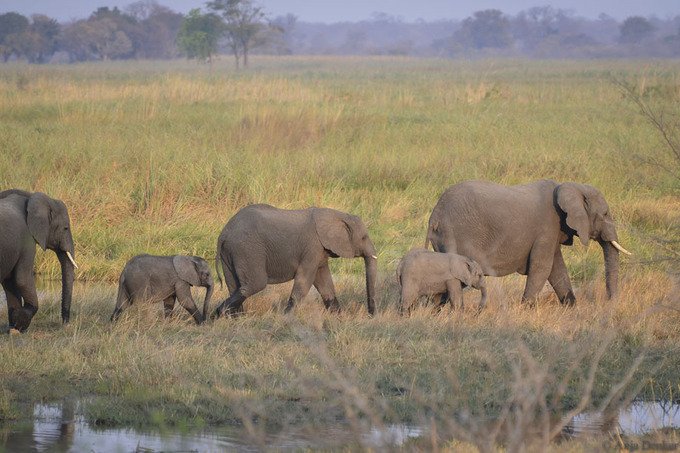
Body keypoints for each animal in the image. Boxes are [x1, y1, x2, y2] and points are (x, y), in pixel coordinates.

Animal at [0, 189, 77, 330]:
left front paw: (14, 327)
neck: (30, 196)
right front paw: (20, 323)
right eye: (65, 228)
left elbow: (10, 281)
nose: (65, 324)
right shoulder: (26, 239)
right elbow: (22, 279)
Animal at [212, 203, 378, 316]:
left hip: (231, 251)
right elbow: (305, 279)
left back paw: (234, 317)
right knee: (254, 284)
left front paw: (338, 317)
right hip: (248, 249)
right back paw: (217, 314)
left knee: (234, 285)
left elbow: (324, 281)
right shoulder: (312, 247)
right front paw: (287, 318)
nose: (371, 315)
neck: (337, 214)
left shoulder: (320, 251)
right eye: (364, 238)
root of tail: (224, 233)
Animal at [424, 179, 632, 304]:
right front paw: (526, 307)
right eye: (605, 214)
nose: (610, 302)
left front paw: (572, 306)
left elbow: (557, 269)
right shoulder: (547, 227)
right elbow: (542, 267)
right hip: (455, 234)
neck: (570, 186)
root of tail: (435, 216)